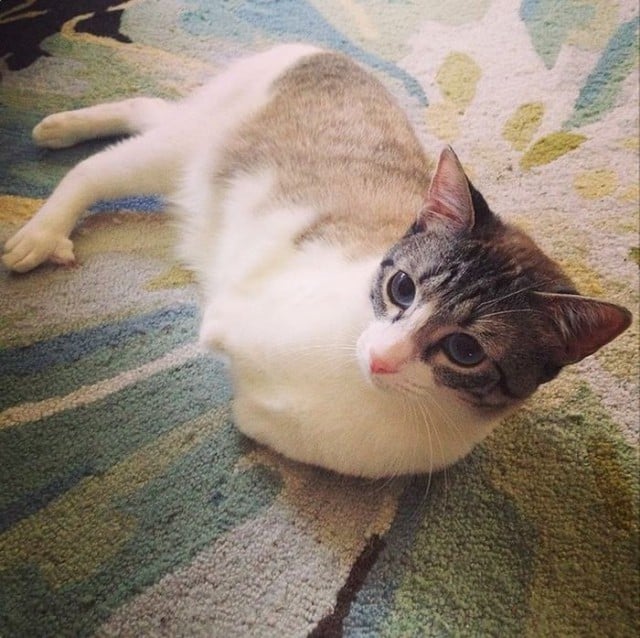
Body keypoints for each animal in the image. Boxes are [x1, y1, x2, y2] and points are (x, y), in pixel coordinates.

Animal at [1, 46, 632, 480]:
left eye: (465, 350)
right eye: (403, 289)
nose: (381, 358)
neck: (353, 384)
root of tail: (324, 50)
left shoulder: (281, 428)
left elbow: (254, 410)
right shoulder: (238, 310)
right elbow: (223, 330)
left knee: (147, 111)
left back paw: (58, 131)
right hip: (180, 152)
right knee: (99, 167)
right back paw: (41, 225)